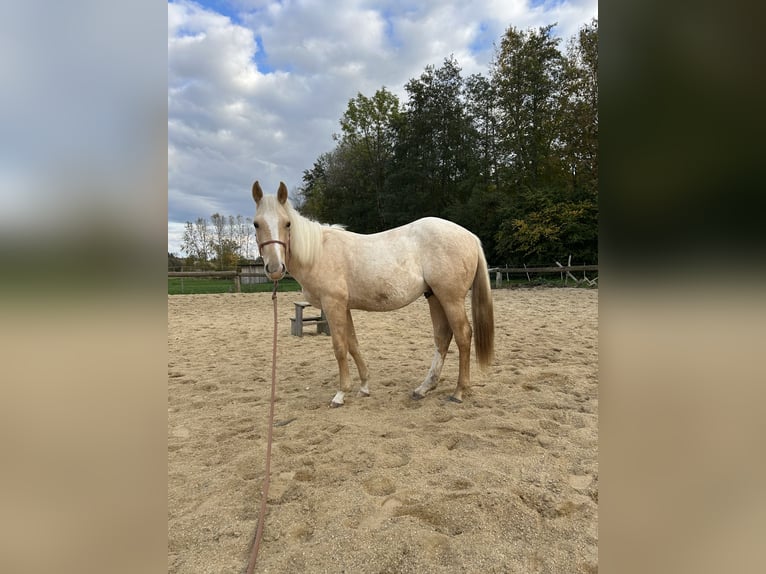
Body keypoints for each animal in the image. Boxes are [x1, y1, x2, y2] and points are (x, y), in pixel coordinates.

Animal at [252, 180, 495, 407]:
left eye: (287, 223)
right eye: (256, 224)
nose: (275, 268)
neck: (319, 252)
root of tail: (470, 236)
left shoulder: (333, 304)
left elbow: (340, 347)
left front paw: (341, 394)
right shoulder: (344, 307)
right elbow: (353, 345)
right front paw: (364, 387)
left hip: (451, 298)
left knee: (463, 335)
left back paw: (459, 392)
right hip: (434, 296)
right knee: (443, 336)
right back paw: (424, 388)